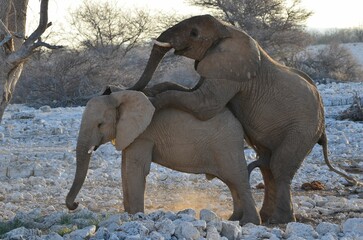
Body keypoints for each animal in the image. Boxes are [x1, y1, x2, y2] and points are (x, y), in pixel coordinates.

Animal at [66, 89, 262, 225]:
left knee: (238, 179)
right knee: (232, 182)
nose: (75, 204)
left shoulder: (144, 134)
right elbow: (125, 168)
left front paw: (137, 216)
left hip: (227, 145)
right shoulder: (131, 135)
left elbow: (135, 169)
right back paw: (234, 219)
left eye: (100, 124)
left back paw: (249, 222)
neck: (120, 96)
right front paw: (129, 214)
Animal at [128, 14, 362, 223]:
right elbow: (187, 92)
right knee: (268, 167)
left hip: (303, 129)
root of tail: (323, 123)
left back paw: (279, 220)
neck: (224, 29)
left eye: (194, 33)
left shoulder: (231, 72)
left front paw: (151, 99)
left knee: (279, 166)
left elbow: (204, 105)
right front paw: (150, 91)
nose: (115, 87)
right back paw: (266, 217)